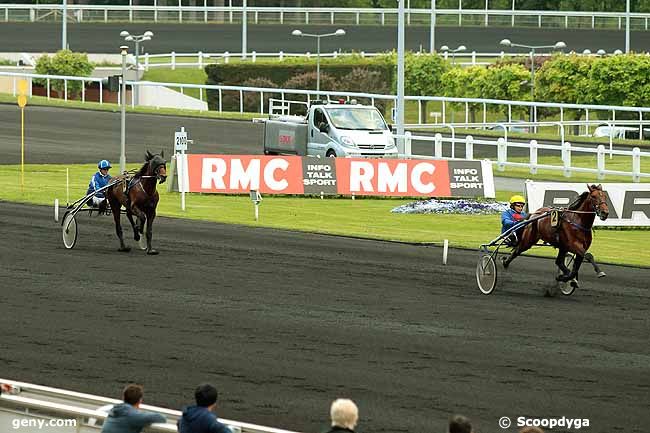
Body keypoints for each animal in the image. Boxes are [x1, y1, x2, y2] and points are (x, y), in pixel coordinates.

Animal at [476, 184, 608, 296]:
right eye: (594, 196)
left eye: (605, 196)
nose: (605, 213)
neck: (577, 221)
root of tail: (534, 214)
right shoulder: (574, 245)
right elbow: (589, 256)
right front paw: (599, 272)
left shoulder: (579, 247)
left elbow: (576, 267)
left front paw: (567, 279)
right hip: (528, 241)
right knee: (516, 251)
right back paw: (499, 264)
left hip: (561, 246)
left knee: (559, 262)